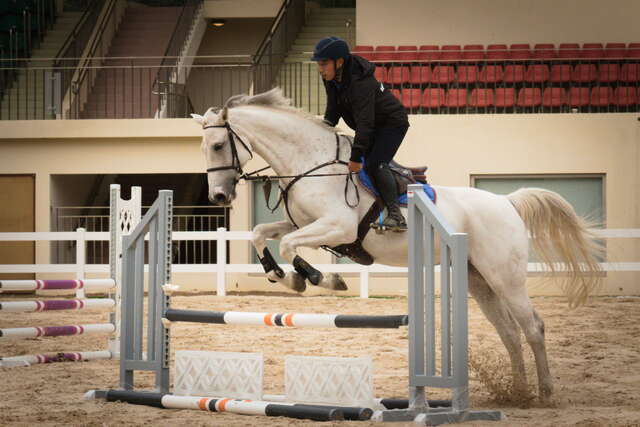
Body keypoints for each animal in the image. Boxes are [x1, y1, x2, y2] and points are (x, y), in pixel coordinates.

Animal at [192, 88, 604, 402]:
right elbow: (261, 233)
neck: (311, 164)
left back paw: (545, 392)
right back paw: (518, 394)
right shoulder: (304, 224)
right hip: (480, 280)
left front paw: (318, 279)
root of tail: (507, 201)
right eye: (205, 147)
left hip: (506, 277)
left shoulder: (336, 227)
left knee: (533, 327)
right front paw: (282, 275)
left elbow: (291, 247)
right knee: (509, 332)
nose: (218, 197)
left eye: (218, 145)